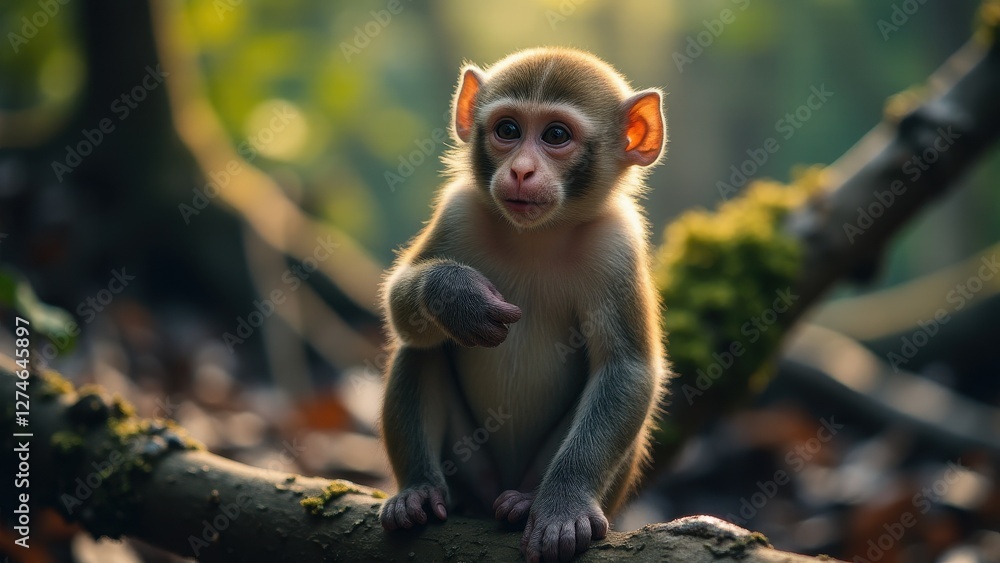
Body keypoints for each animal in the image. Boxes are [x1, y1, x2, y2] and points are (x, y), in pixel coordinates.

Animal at [378, 47, 668, 562]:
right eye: (508, 129)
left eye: (556, 135)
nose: (520, 171)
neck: (537, 237)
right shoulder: (460, 210)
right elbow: (397, 306)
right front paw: (456, 296)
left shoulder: (616, 245)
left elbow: (626, 368)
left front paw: (563, 505)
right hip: (472, 470)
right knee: (421, 348)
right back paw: (418, 491)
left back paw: (526, 502)